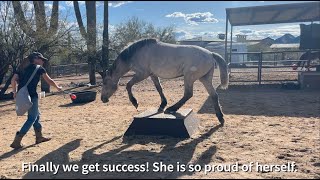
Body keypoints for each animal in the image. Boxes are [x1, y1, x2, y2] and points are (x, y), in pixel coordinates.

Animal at [101, 38, 229, 124]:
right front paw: (162, 104)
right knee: (214, 95)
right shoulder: (152, 75)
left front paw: (135, 102)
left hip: (189, 77)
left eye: (105, 82)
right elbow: (159, 88)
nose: (102, 99)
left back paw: (172, 108)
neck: (136, 53)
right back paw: (220, 118)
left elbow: (128, 85)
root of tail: (210, 53)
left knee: (188, 94)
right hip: (204, 79)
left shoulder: (142, 74)